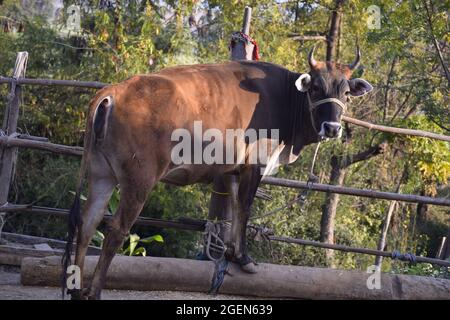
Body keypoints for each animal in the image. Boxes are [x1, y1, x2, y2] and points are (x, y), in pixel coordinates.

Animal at [62, 47, 372, 300]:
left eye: (345, 92)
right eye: (316, 88)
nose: (332, 127)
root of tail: (113, 91)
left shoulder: (233, 169)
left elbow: (234, 208)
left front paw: (232, 253)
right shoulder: (255, 164)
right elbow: (244, 208)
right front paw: (245, 258)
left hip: (101, 173)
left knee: (88, 222)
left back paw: (77, 289)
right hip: (139, 179)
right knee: (115, 229)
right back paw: (94, 291)